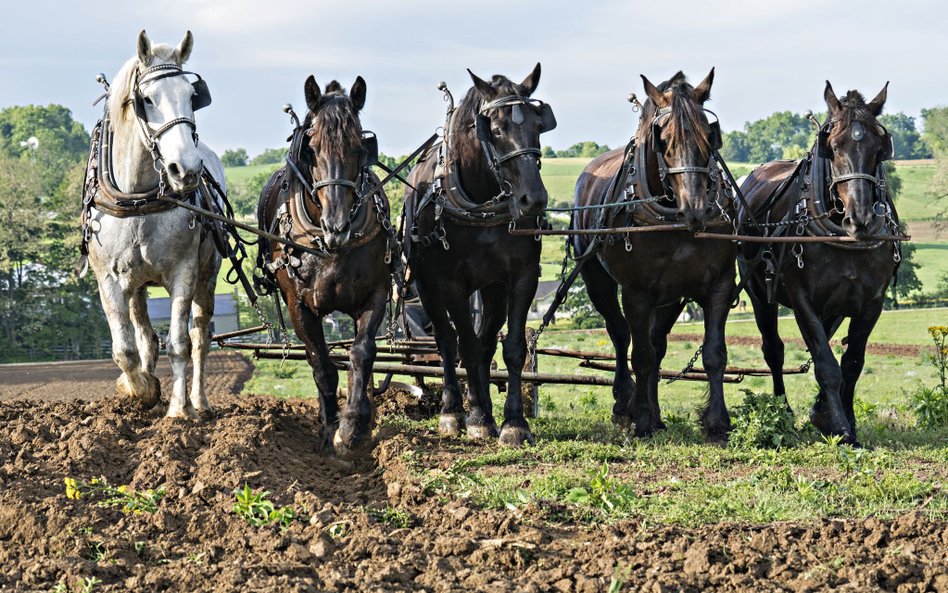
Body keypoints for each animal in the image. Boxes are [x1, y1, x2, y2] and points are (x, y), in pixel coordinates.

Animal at [85, 31, 226, 416]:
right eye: (146, 99)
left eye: (192, 96)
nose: (187, 169)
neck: (138, 200)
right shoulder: (108, 279)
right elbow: (126, 349)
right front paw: (140, 389)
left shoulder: (184, 272)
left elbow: (179, 344)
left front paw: (178, 409)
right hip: (136, 284)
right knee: (145, 337)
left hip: (207, 278)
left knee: (200, 338)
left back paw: (199, 402)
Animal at [256, 76, 392, 456]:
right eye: (311, 149)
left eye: (360, 147)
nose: (337, 226)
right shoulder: (299, 305)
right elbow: (322, 365)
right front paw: (330, 430)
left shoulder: (376, 292)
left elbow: (362, 352)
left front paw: (353, 427)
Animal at [402, 63, 556, 444]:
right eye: (496, 130)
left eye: (538, 126)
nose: (533, 200)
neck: (482, 201)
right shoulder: (451, 284)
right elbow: (465, 347)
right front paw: (476, 419)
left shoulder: (521, 277)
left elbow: (511, 348)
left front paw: (514, 423)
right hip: (427, 286)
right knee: (447, 342)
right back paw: (456, 411)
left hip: (492, 289)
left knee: (486, 343)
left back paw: (483, 405)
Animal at [568, 69, 736, 440]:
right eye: (664, 140)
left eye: (710, 136)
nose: (695, 209)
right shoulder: (636, 293)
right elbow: (640, 355)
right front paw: (641, 418)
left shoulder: (719, 284)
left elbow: (713, 354)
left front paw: (717, 423)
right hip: (597, 280)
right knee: (620, 335)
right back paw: (625, 404)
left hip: (671, 297)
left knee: (658, 345)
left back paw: (656, 415)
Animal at [736, 82, 900, 444]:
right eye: (833, 146)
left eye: (879, 147)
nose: (861, 217)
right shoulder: (802, 300)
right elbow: (825, 362)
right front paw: (838, 426)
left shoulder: (872, 301)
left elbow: (851, 362)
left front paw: (836, 417)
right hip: (759, 294)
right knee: (774, 350)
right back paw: (783, 410)